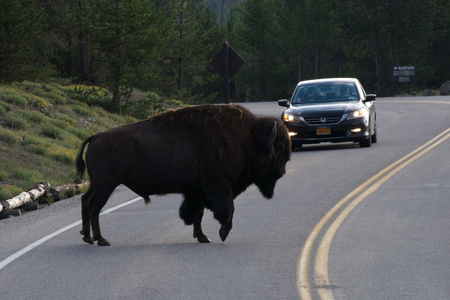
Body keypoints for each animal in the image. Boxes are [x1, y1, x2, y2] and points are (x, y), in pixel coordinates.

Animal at [75, 104, 290, 245]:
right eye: (277, 150)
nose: (283, 171)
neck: (248, 138)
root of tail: (96, 136)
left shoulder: (197, 192)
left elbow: (197, 214)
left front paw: (203, 237)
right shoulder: (219, 187)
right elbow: (227, 209)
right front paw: (222, 232)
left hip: (99, 184)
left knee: (85, 201)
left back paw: (87, 237)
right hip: (106, 184)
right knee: (94, 206)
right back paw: (101, 240)